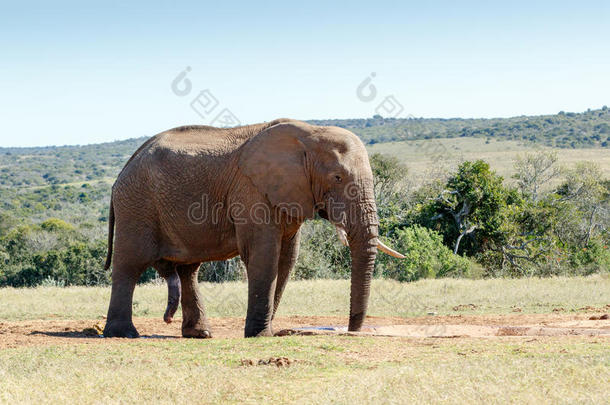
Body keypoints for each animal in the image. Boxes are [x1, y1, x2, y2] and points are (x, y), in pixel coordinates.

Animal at [103, 117, 404, 338]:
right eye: (338, 177)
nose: (352, 331)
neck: (309, 133)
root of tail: (122, 172)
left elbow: (286, 259)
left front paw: (266, 330)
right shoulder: (251, 192)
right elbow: (264, 255)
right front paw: (260, 335)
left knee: (188, 270)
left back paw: (200, 334)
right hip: (136, 204)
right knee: (129, 264)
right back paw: (124, 334)